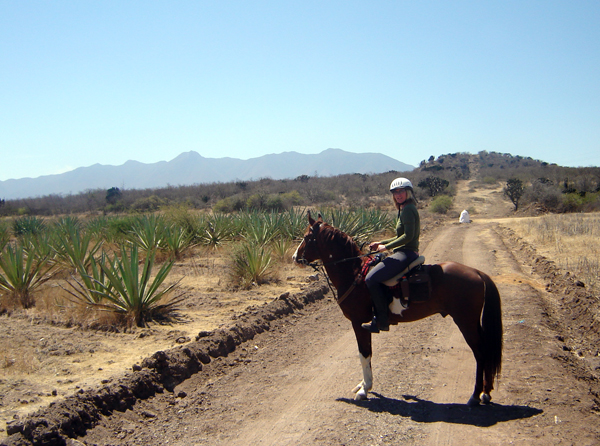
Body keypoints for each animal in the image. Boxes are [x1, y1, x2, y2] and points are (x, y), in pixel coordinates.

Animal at [290, 214, 502, 406]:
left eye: (307, 237)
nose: (295, 257)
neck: (354, 273)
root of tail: (477, 272)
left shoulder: (359, 322)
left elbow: (364, 353)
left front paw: (364, 389)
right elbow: (367, 353)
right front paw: (363, 385)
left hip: (466, 322)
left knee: (480, 352)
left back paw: (475, 396)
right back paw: (486, 393)